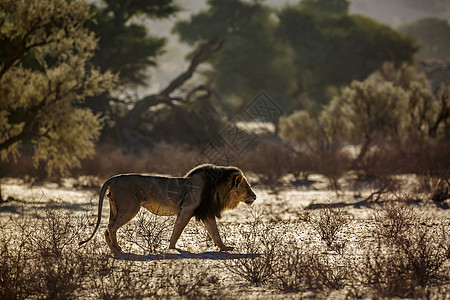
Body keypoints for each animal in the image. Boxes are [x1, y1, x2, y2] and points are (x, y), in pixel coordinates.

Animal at [78, 164, 255, 253]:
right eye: (247, 186)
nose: (255, 197)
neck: (219, 189)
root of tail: (113, 179)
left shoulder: (206, 213)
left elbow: (215, 233)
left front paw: (225, 248)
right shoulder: (187, 209)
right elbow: (177, 230)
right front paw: (172, 248)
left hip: (115, 208)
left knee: (107, 228)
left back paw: (112, 248)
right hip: (129, 208)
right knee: (111, 226)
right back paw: (117, 248)